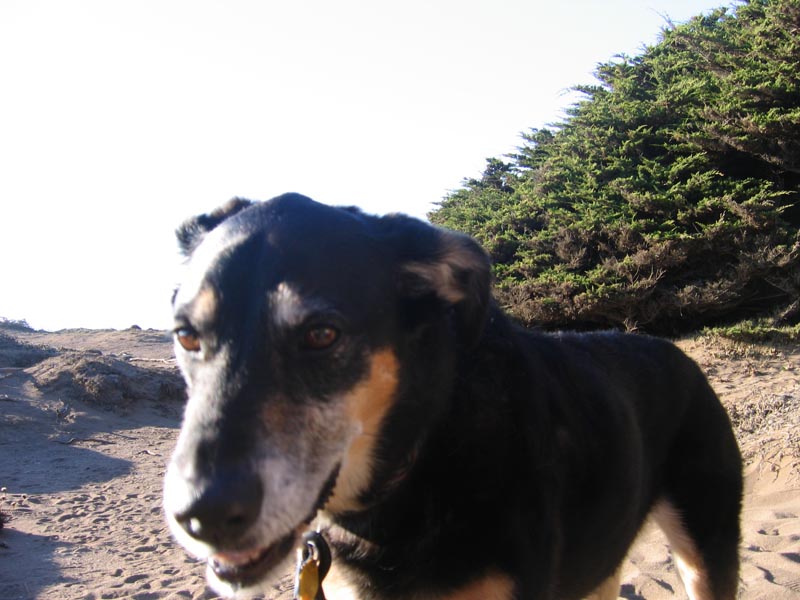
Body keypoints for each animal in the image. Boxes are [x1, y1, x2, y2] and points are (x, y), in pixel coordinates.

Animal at [164, 193, 742, 600]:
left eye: (322, 335)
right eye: (186, 336)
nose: (202, 516)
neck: (426, 452)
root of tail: (681, 355)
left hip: (706, 545)